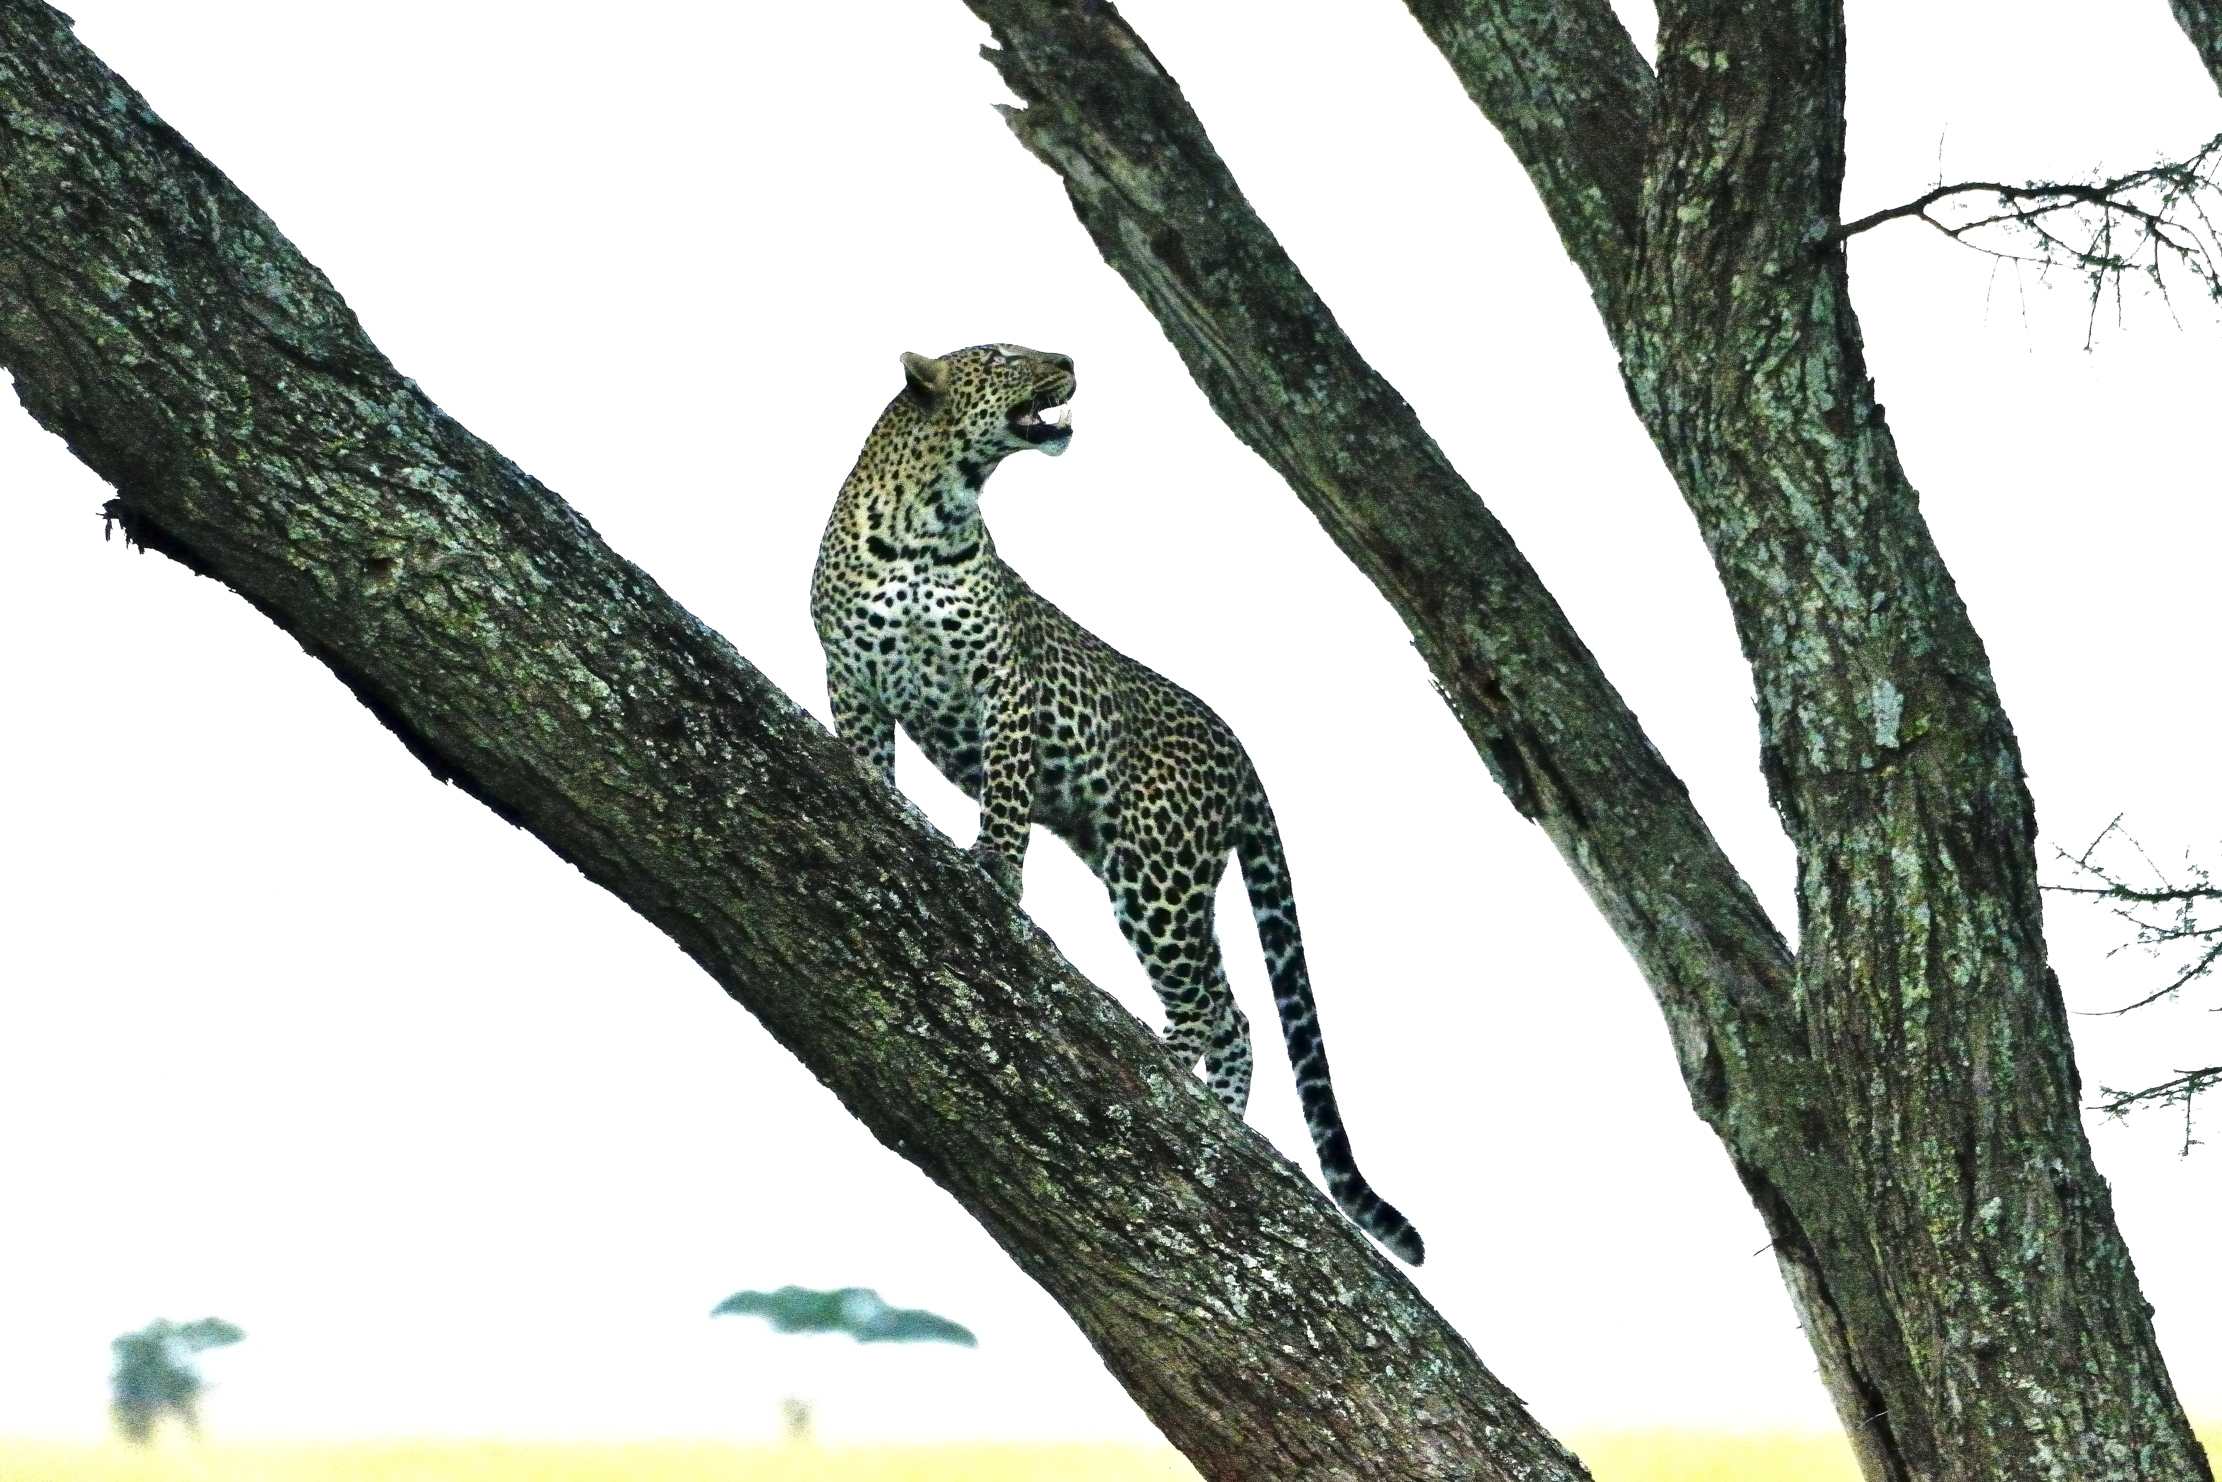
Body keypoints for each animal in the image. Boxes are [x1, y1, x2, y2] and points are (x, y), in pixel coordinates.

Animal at [810, 343, 1423, 1266]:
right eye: (1002, 354)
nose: (1066, 358)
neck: (930, 519)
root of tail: (1240, 751)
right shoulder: (851, 677)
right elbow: (869, 761)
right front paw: (881, 801)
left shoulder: (1006, 687)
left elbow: (1005, 796)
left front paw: (995, 872)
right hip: (1150, 873)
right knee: (1232, 1012)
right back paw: (1217, 1116)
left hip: (1155, 873)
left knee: (1216, 1009)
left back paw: (1175, 1077)